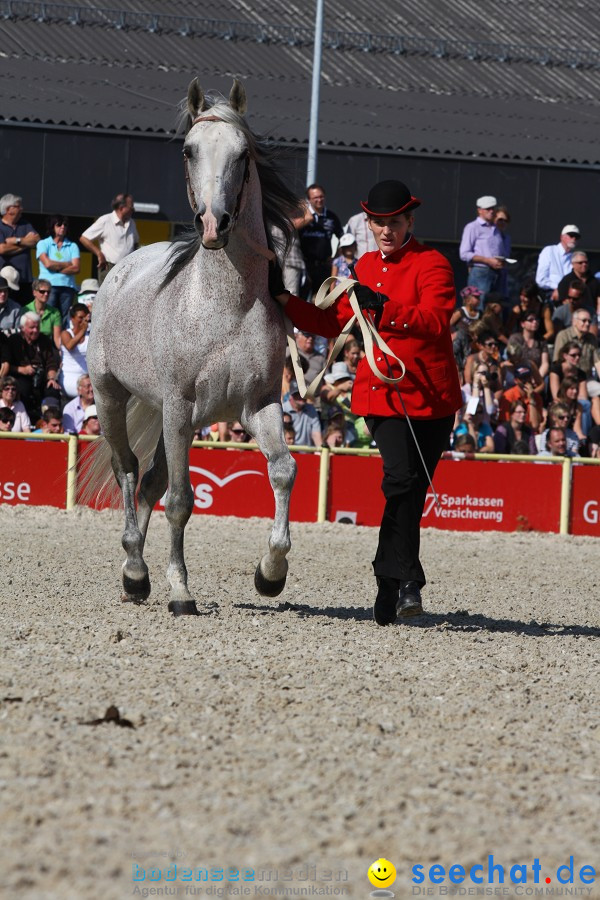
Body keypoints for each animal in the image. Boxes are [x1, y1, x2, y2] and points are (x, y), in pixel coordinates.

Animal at [84, 77, 300, 616]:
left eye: (244, 154)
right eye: (188, 150)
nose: (213, 224)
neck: (226, 308)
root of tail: (120, 268)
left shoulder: (257, 405)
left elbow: (283, 471)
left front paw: (270, 573)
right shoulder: (179, 406)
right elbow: (181, 501)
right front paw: (181, 591)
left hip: (177, 418)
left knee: (150, 481)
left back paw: (137, 576)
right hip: (114, 398)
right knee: (128, 470)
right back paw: (135, 569)